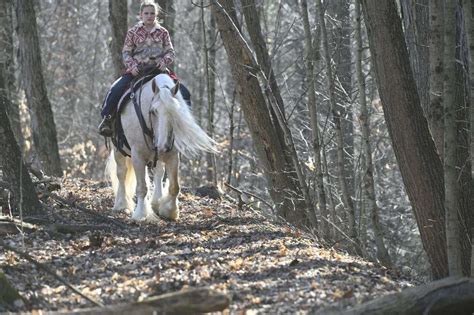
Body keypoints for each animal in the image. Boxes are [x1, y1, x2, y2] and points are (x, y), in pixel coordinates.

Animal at [105, 74, 217, 222]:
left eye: (176, 113)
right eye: (153, 111)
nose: (163, 146)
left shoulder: (173, 156)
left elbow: (174, 186)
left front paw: (170, 211)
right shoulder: (137, 156)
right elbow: (141, 187)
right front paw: (140, 214)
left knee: (158, 173)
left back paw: (156, 203)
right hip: (119, 150)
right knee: (121, 173)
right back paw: (121, 205)